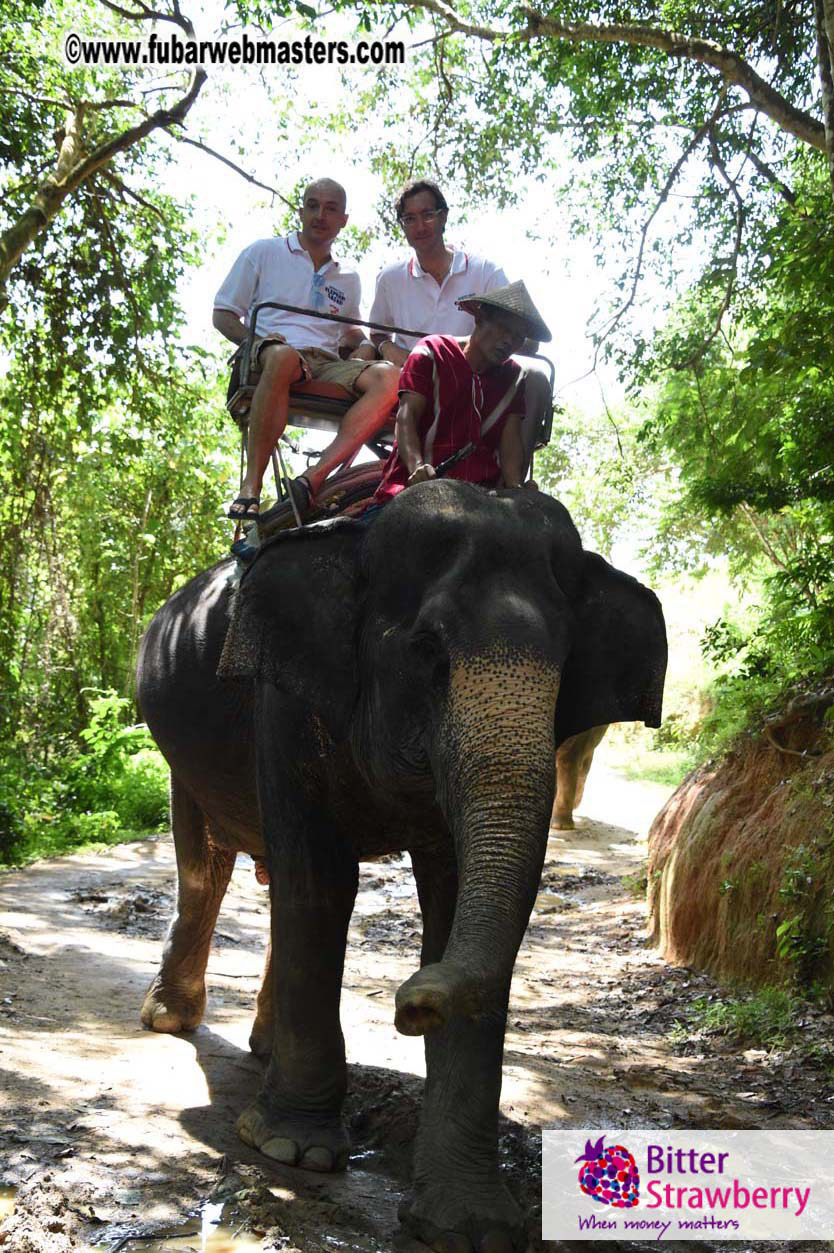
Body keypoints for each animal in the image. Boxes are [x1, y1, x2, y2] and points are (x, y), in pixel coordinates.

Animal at [137, 480, 666, 1253]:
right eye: (427, 649)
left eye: (567, 666)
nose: (410, 1005)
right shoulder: (284, 699)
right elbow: (321, 883)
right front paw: (294, 1151)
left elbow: (452, 903)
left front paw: (470, 1223)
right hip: (187, 746)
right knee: (206, 863)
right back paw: (169, 1019)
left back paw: (261, 1046)